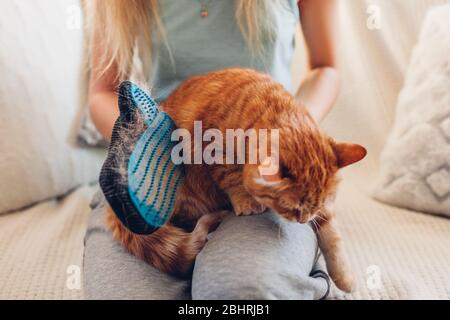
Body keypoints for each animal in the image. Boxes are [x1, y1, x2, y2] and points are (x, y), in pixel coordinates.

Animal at [107, 68, 368, 292]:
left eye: (313, 207)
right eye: (292, 209)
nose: (303, 221)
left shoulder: (324, 208)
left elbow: (332, 235)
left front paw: (344, 275)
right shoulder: (212, 150)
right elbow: (231, 176)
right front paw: (246, 200)